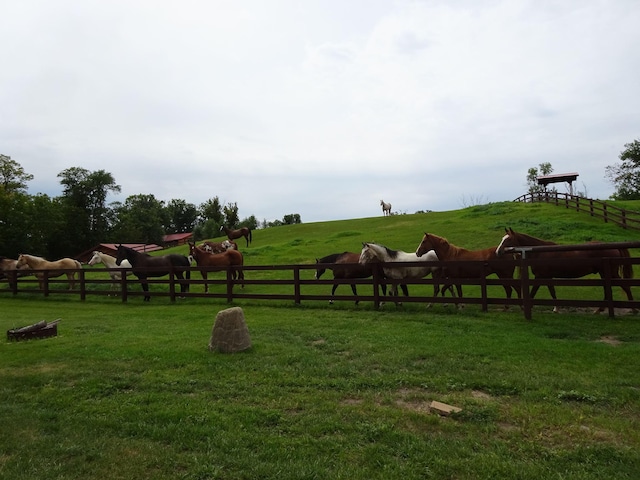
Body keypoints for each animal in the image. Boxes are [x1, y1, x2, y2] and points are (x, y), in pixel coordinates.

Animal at [496, 227, 632, 314]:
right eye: (502, 238)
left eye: (508, 239)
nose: (498, 251)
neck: (539, 252)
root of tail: (614, 247)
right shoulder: (547, 277)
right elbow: (552, 292)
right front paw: (556, 308)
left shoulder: (540, 276)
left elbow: (533, 292)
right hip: (604, 273)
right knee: (607, 289)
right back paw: (599, 310)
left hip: (610, 273)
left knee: (624, 286)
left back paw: (633, 309)